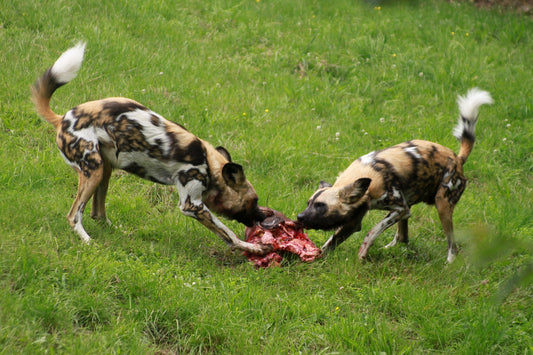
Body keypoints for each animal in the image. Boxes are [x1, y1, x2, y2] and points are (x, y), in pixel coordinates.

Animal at [31, 43, 272, 256]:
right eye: (254, 201)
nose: (263, 218)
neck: (209, 165)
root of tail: (62, 118)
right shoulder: (192, 205)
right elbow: (229, 234)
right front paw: (253, 248)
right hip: (94, 170)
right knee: (74, 215)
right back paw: (88, 241)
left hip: (104, 170)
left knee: (97, 213)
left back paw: (118, 233)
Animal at [296, 87, 490, 262]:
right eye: (308, 203)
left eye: (320, 206)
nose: (300, 217)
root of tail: (457, 158)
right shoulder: (355, 221)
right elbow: (330, 243)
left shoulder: (398, 209)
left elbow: (371, 232)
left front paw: (362, 254)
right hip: (410, 205)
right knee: (403, 237)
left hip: (441, 204)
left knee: (452, 245)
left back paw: (449, 263)